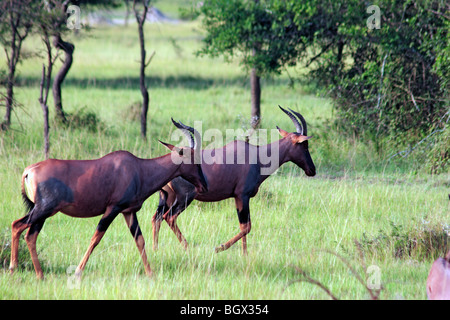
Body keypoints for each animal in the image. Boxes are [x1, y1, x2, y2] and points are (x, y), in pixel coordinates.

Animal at [9, 119, 207, 278]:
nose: (204, 186)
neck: (137, 168)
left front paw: (151, 274)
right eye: (193, 159)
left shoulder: (128, 212)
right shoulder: (113, 209)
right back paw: (15, 269)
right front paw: (78, 271)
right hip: (43, 209)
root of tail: (30, 170)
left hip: (43, 212)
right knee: (17, 226)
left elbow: (140, 240)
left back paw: (39, 275)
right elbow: (96, 237)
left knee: (30, 235)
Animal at [153, 107, 314, 255]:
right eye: (304, 145)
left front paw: (244, 255)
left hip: (167, 197)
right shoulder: (243, 195)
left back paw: (155, 249)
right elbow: (247, 226)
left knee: (157, 218)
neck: (256, 155)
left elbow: (243, 226)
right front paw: (219, 248)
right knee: (170, 217)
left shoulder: (237, 197)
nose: (312, 170)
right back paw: (187, 247)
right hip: (184, 197)